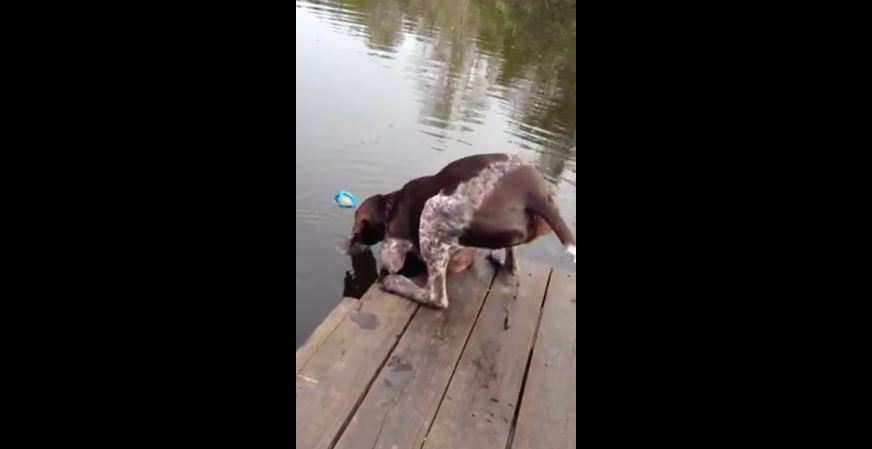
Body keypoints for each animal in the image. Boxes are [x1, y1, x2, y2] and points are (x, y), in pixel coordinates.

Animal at [344, 153, 576, 308]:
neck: (392, 204)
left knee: (436, 298)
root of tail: (537, 195)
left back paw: (395, 283)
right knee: (512, 266)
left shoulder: (392, 252)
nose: (352, 245)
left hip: (432, 212)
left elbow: (392, 263)